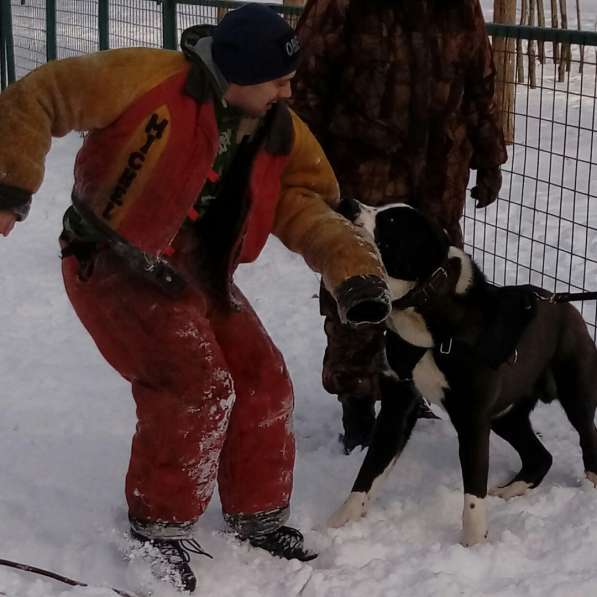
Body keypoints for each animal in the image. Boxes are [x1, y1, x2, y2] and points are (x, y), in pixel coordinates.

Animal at [328, 200, 596, 544]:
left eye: (391, 221)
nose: (347, 204)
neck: (424, 312)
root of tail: (567, 305)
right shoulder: (397, 408)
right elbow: (370, 469)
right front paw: (338, 523)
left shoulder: (472, 418)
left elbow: (473, 494)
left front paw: (474, 543)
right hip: (506, 414)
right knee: (540, 457)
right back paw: (511, 490)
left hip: (575, 392)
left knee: (588, 438)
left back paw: (590, 484)